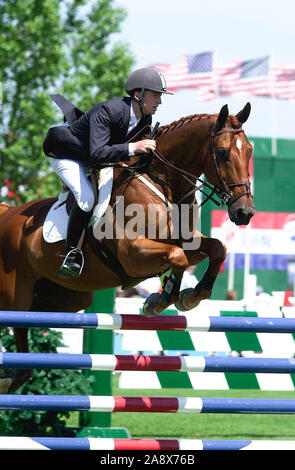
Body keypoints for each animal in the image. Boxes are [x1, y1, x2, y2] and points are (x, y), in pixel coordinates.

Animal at [0, 103, 256, 392]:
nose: (244, 212)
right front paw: (159, 300)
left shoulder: (185, 242)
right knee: (19, 331)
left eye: (249, 151)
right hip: (15, 297)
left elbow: (217, 249)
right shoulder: (133, 254)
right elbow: (177, 257)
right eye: (223, 153)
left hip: (65, 298)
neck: (162, 182)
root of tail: (7, 213)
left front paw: (191, 296)